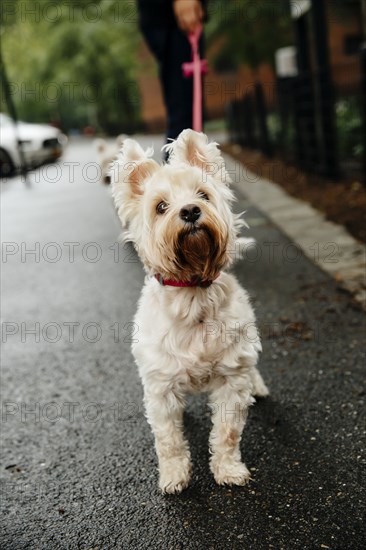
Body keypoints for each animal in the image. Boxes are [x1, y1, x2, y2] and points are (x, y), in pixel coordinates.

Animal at [111, 130, 268, 496]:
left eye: (203, 194)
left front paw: (229, 470)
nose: (192, 211)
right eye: (161, 207)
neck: (193, 294)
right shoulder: (160, 387)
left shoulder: (231, 380)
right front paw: (174, 477)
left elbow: (227, 433)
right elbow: (168, 440)